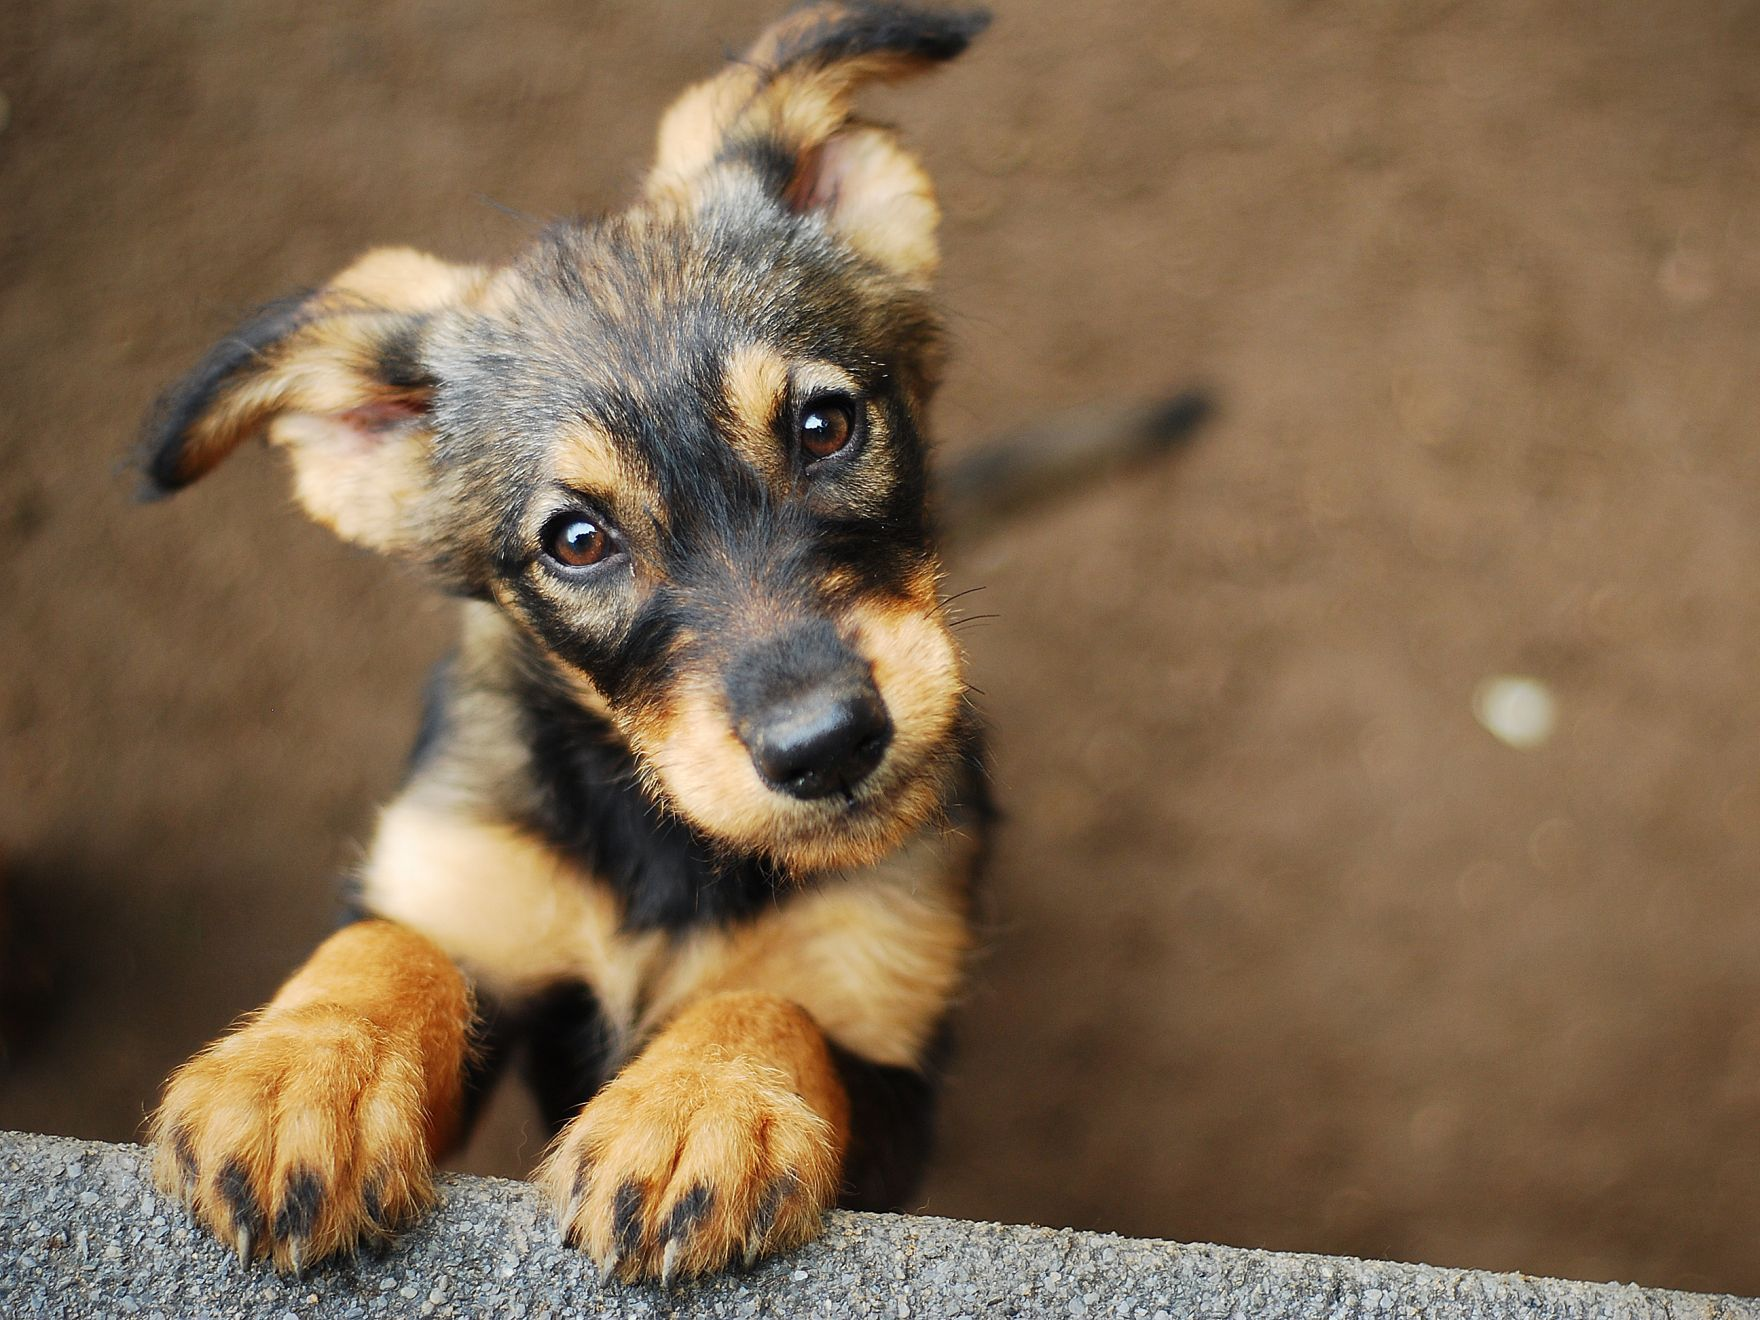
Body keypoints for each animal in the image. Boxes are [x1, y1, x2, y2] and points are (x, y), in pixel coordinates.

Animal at [140, 0, 992, 1295]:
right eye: (577, 540)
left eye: (825, 423)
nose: (828, 746)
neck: (663, 842)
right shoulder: (470, 888)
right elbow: (390, 943)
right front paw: (299, 1075)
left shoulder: (888, 1053)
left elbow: (773, 1007)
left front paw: (696, 1107)